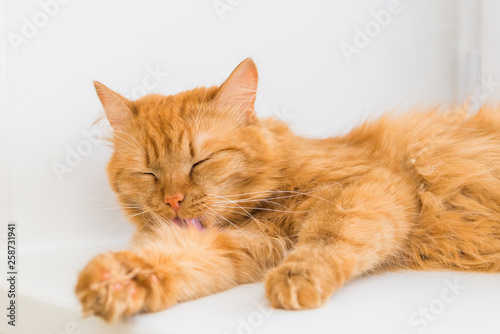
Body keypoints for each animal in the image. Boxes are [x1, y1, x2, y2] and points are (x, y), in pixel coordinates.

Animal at [76, 58, 500, 322]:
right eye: (148, 173)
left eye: (200, 161)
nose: (173, 200)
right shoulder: (240, 244)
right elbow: (172, 260)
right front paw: (117, 283)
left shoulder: (369, 184)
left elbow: (326, 240)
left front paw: (298, 278)